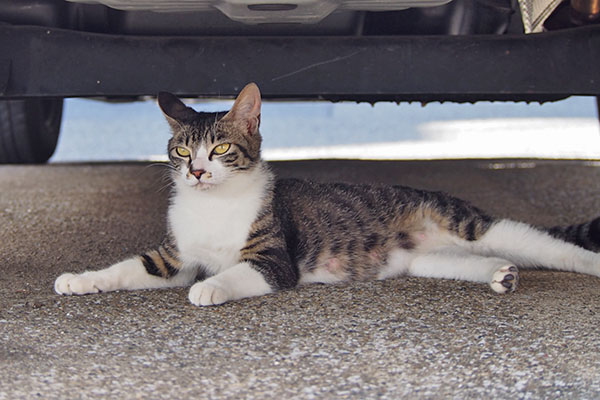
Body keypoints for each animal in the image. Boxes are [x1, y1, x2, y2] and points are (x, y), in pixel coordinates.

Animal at [56, 82, 600, 306]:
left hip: (474, 224)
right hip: (429, 258)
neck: (212, 208)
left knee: (550, 247)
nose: (197, 173)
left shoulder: (274, 259)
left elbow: (238, 272)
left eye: (222, 148)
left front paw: (211, 287)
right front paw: (82, 280)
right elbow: (130, 266)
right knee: (473, 261)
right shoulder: (175, 257)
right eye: (182, 150)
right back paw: (499, 275)